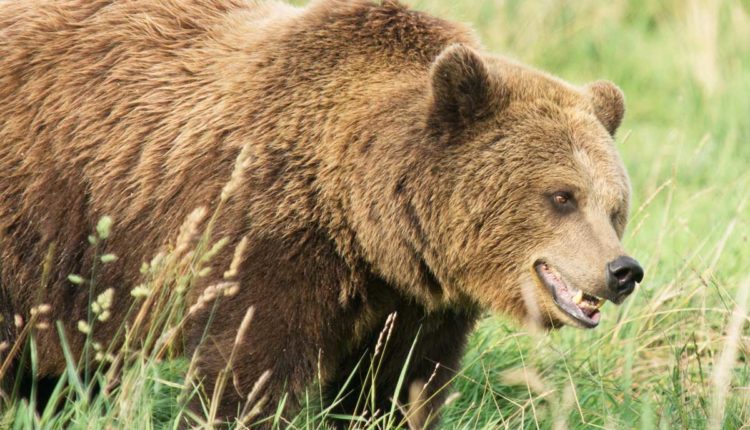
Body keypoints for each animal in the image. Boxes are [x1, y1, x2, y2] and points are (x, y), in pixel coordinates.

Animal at [0, 0, 644, 428]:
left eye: (615, 207)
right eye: (562, 196)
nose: (622, 271)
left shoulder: (414, 302)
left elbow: (396, 386)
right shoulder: (264, 239)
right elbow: (248, 377)